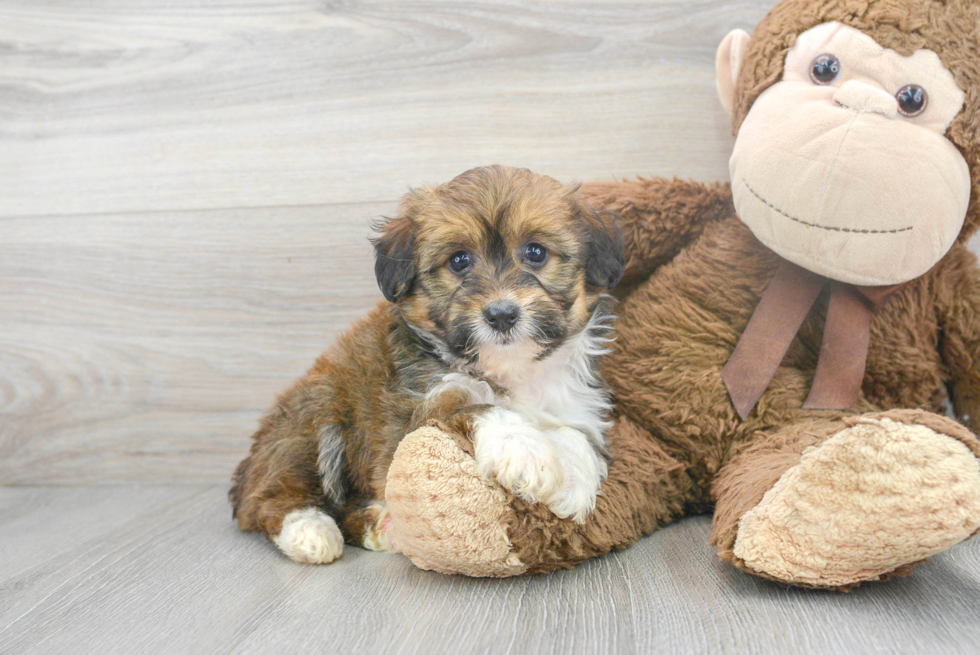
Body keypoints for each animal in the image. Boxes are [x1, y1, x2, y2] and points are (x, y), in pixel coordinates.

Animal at [232, 164, 620, 564]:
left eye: (535, 252)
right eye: (459, 261)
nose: (501, 314)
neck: (511, 368)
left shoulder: (575, 401)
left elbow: (574, 431)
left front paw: (575, 479)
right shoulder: (412, 416)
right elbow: (472, 405)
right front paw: (525, 449)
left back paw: (381, 525)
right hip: (313, 420)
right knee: (271, 497)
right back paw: (310, 531)